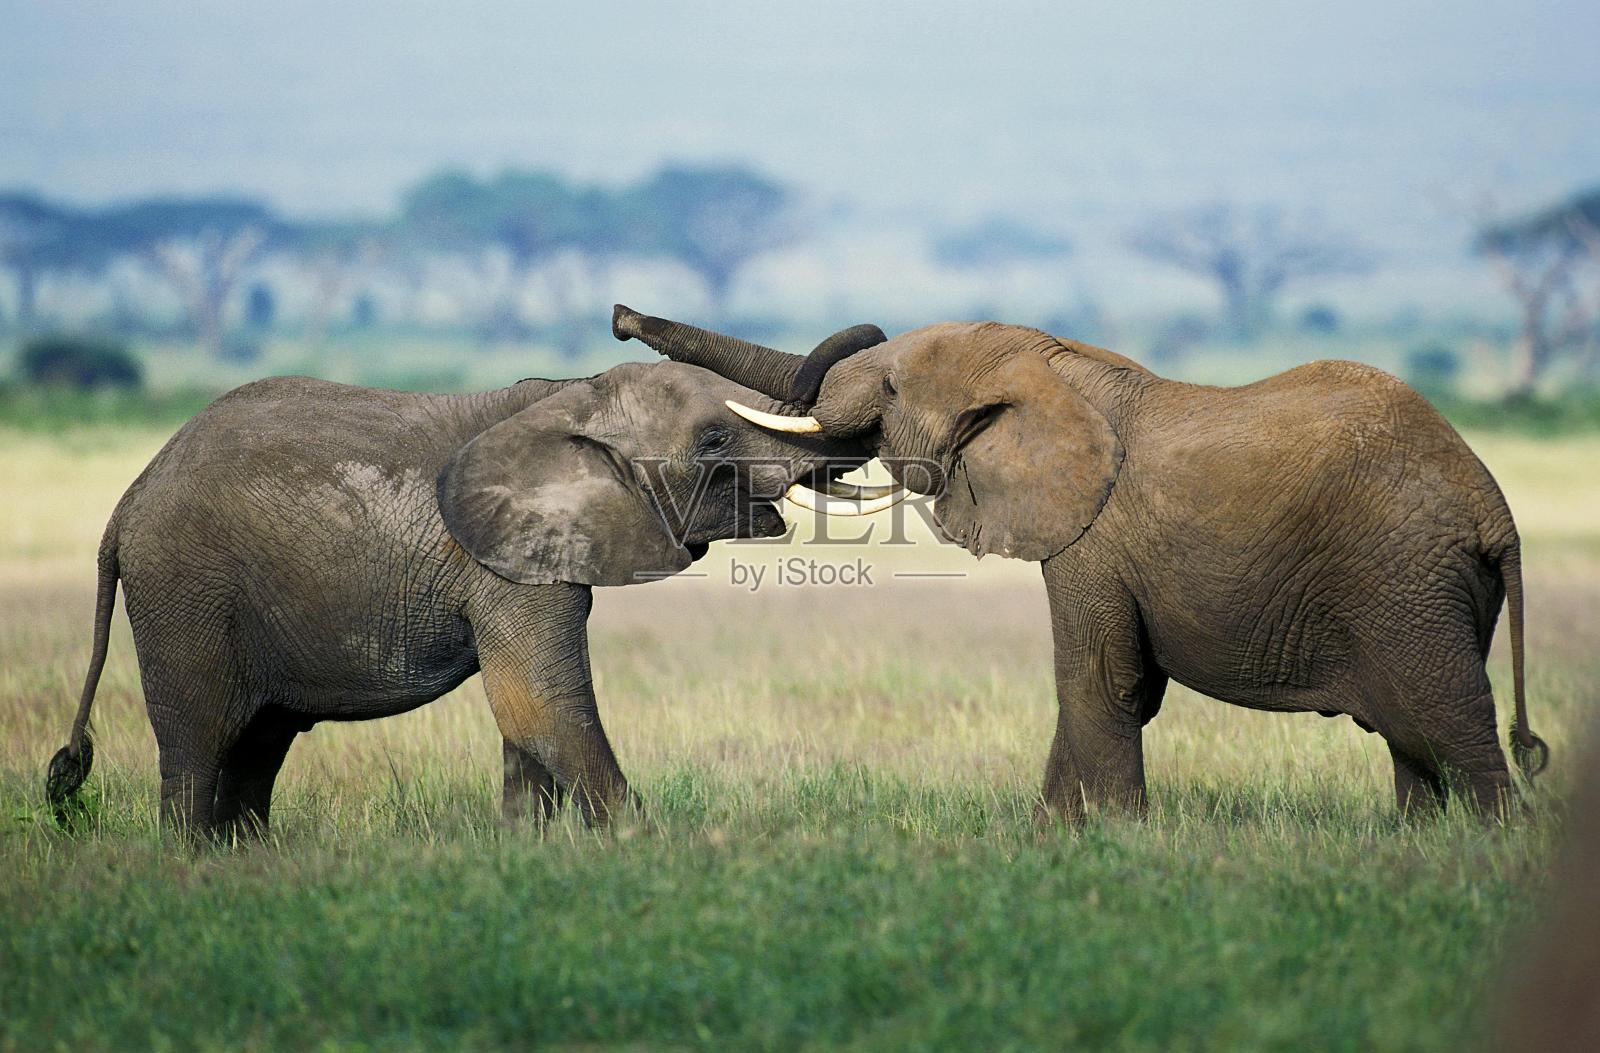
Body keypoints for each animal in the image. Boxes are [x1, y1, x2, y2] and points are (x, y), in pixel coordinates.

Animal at [44, 341, 891, 839]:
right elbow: (542, 700)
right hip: (185, 590)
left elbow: (525, 717)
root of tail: (127, 502)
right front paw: (647, 851)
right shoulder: (501, 564)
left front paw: (525, 856)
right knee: (199, 739)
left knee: (257, 746)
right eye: (713, 442)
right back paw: (190, 863)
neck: (573, 394)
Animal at [614, 305, 1550, 821]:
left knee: (1447, 719)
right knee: (1413, 739)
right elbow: (1095, 684)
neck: (1056, 362)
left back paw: (1487, 850)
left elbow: (1102, 678)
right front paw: (1054, 844)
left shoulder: (1094, 536)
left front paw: (1124, 845)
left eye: (890, 390)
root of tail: (1495, 510)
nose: (621, 316)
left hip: (1406, 579)